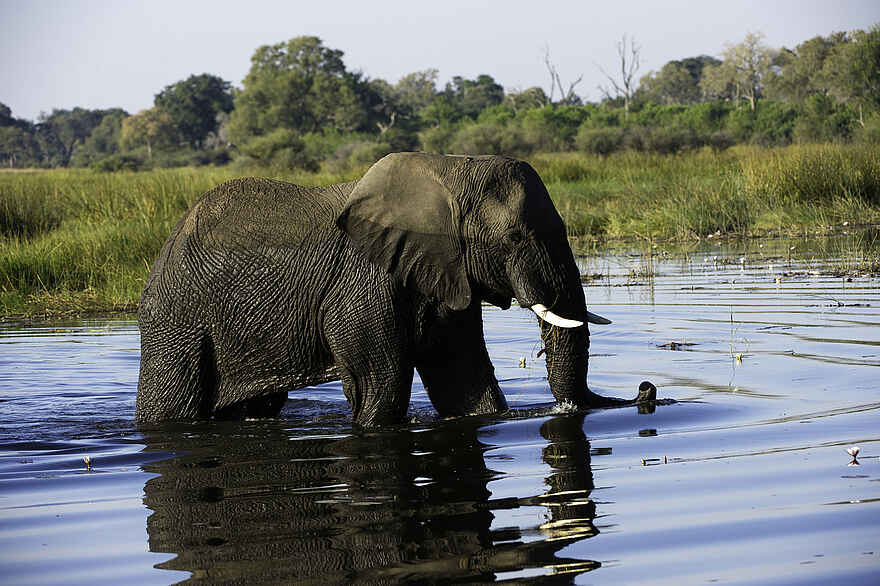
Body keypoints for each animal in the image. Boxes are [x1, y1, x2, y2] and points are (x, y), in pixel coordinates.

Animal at [136, 152, 656, 425]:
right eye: (513, 238)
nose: (647, 389)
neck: (449, 173)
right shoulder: (363, 282)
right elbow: (379, 386)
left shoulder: (445, 276)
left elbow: (463, 378)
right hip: (176, 320)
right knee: (172, 407)